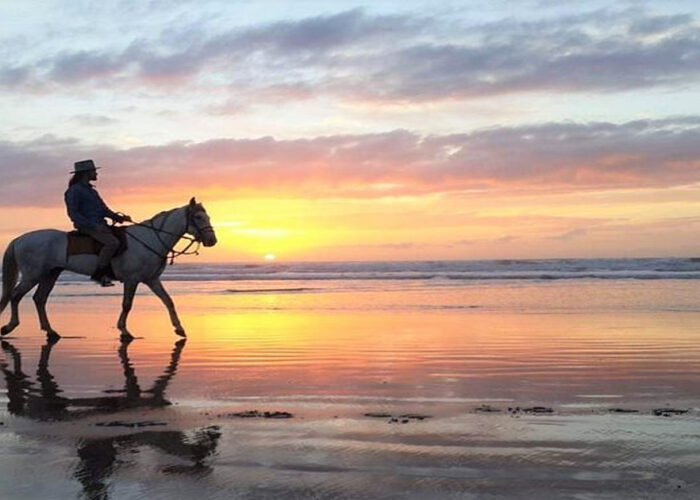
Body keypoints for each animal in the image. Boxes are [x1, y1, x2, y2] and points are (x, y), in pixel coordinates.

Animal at [0, 197, 216, 342]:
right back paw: (9, 327)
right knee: (16, 296)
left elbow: (168, 301)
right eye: (198, 217)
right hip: (32, 275)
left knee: (39, 299)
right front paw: (124, 331)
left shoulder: (152, 279)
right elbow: (127, 305)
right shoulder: (132, 279)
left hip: (50, 274)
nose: (212, 240)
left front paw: (179, 329)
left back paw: (51, 332)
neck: (150, 238)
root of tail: (19, 239)